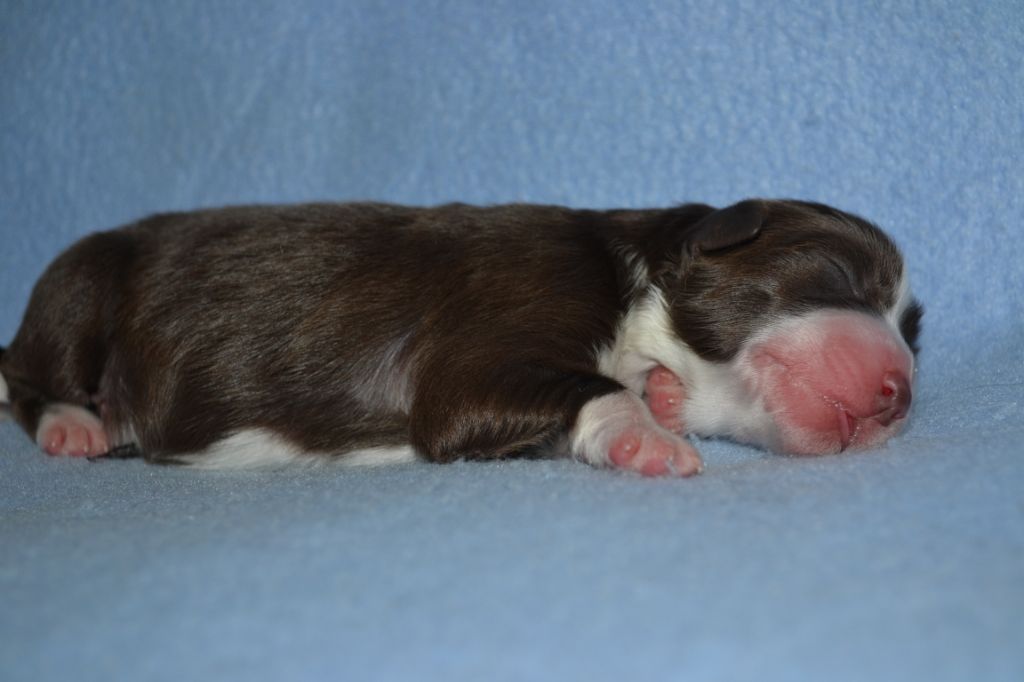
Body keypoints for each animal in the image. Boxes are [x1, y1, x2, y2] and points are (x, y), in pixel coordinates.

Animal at [0, 199, 922, 476]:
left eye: (915, 333)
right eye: (839, 278)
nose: (901, 391)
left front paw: (658, 409)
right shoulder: (481, 356)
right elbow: (592, 388)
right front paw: (648, 439)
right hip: (80, 284)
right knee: (31, 376)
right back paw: (75, 425)